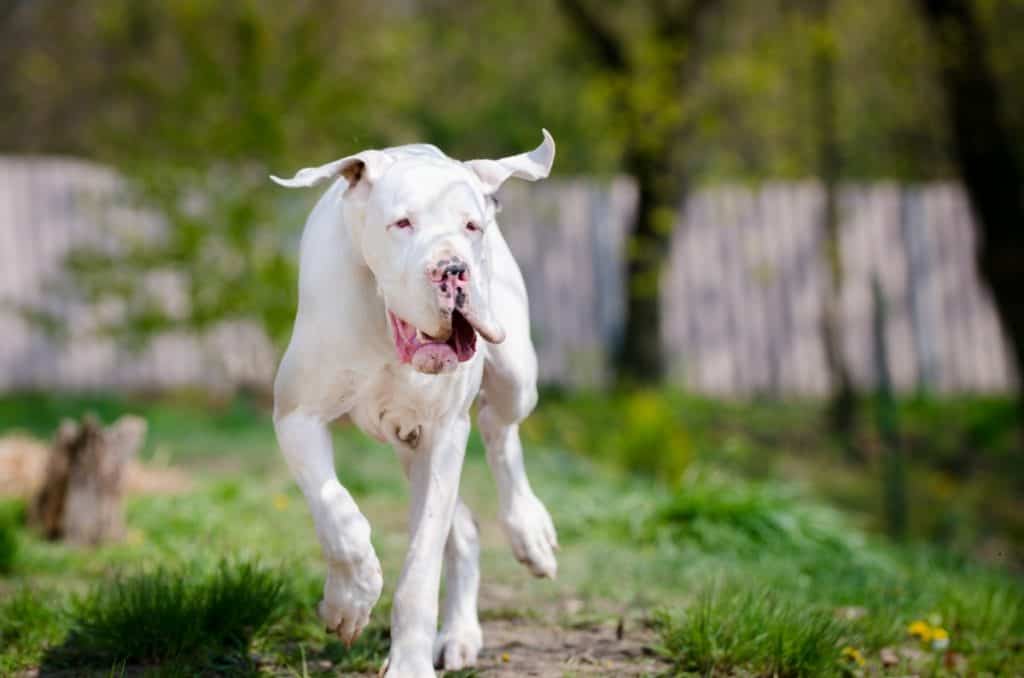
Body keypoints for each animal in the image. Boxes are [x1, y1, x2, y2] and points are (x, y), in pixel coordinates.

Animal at [272, 130, 561, 675]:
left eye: (471, 226)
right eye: (402, 223)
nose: (453, 270)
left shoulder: (444, 433)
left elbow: (420, 570)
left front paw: (408, 663)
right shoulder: (297, 416)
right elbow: (338, 514)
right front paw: (351, 599)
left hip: (514, 375)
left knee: (500, 430)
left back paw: (528, 532)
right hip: (407, 442)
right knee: (465, 528)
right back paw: (460, 632)